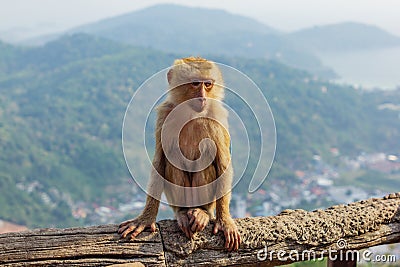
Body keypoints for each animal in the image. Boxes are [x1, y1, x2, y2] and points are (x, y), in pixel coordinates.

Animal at [116, 56, 241, 251]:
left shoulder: (217, 116)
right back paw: (183, 213)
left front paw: (225, 221)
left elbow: (223, 163)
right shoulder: (165, 114)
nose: (203, 98)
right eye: (195, 83)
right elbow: (160, 160)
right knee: (172, 156)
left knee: (207, 153)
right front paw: (145, 219)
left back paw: (202, 212)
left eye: (208, 84)